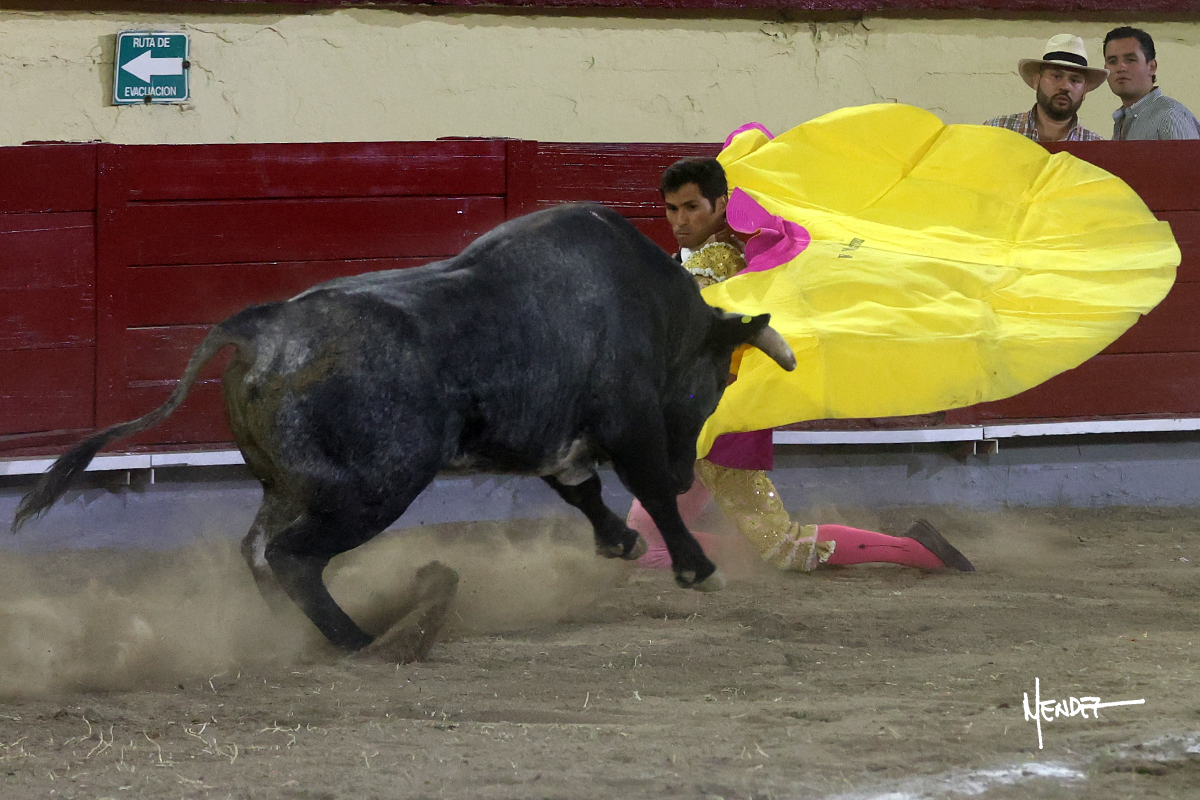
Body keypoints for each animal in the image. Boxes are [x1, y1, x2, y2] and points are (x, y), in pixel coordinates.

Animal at [12, 203, 795, 660]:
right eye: (713, 386)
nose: (697, 470)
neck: (656, 307)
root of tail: (265, 327)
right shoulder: (630, 421)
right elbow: (649, 489)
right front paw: (697, 566)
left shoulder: (555, 437)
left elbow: (583, 491)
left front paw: (623, 543)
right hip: (375, 488)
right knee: (292, 556)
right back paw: (362, 641)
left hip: (293, 486)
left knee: (259, 550)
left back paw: (292, 637)